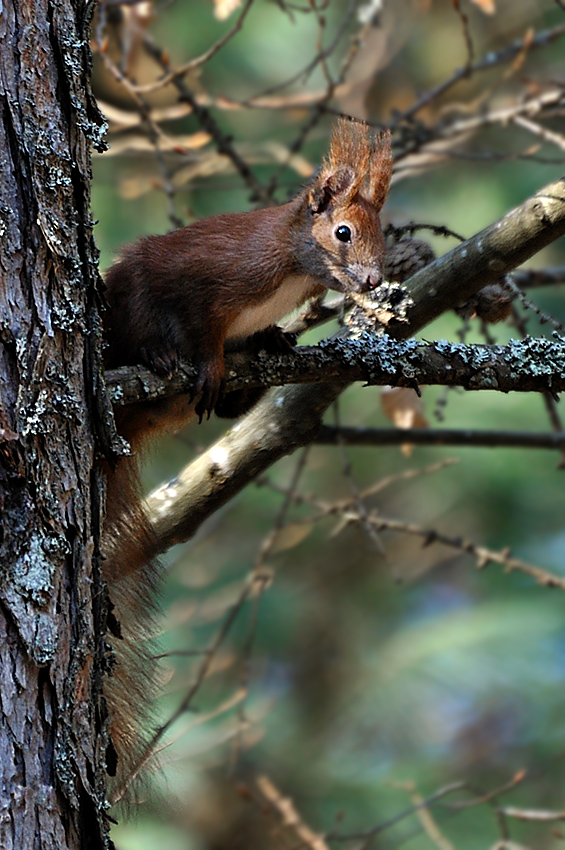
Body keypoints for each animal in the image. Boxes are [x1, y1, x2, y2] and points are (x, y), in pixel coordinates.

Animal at [101, 116, 392, 800]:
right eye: (343, 232)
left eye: (385, 233)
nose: (371, 282)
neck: (292, 271)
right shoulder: (208, 284)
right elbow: (200, 330)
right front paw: (207, 361)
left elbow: (256, 334)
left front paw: (276, 338)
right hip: (129, 310)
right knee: (147, 338)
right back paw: (160, 360)